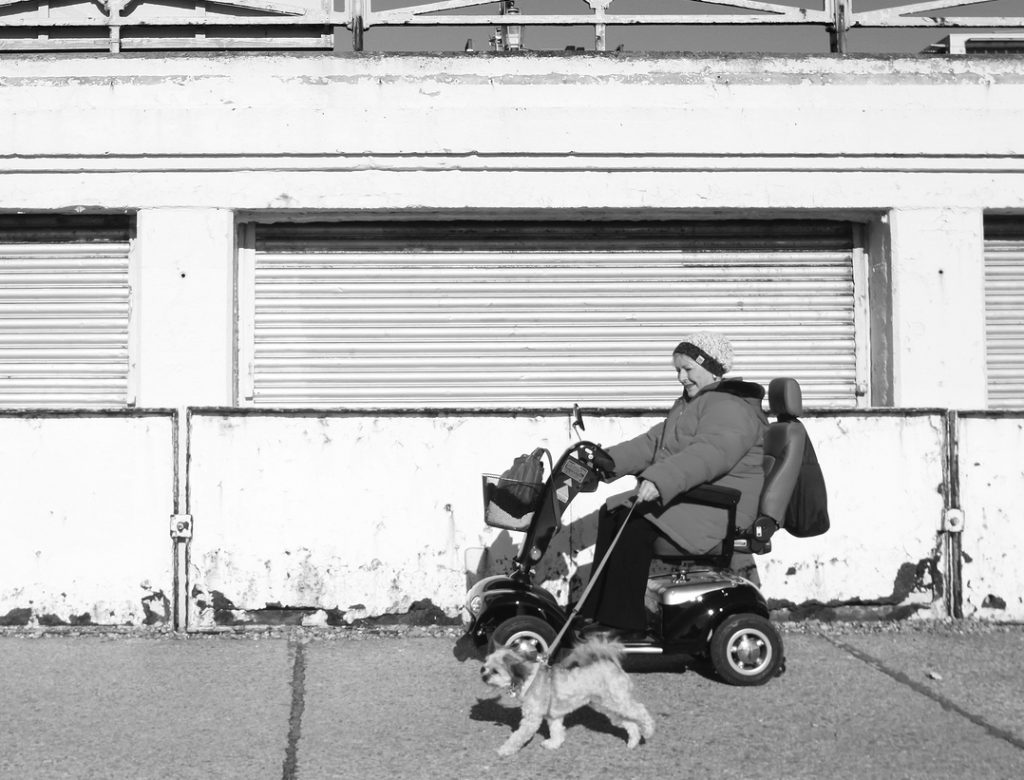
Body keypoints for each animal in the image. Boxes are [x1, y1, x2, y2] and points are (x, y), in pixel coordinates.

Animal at [479, 630, 655, 753]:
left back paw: (649, 731)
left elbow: (517, 737)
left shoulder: (531, 720)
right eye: (484, 667)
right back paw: (633, 742)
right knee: (630, 722)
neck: (529, 679)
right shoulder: (553, 717)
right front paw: (553, 744)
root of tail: (611, 664)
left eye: (495, 671)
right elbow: (556, 731)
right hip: (610, 707)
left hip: (619, 702)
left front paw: (504, 750)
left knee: (641, 711)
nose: (483, 676)